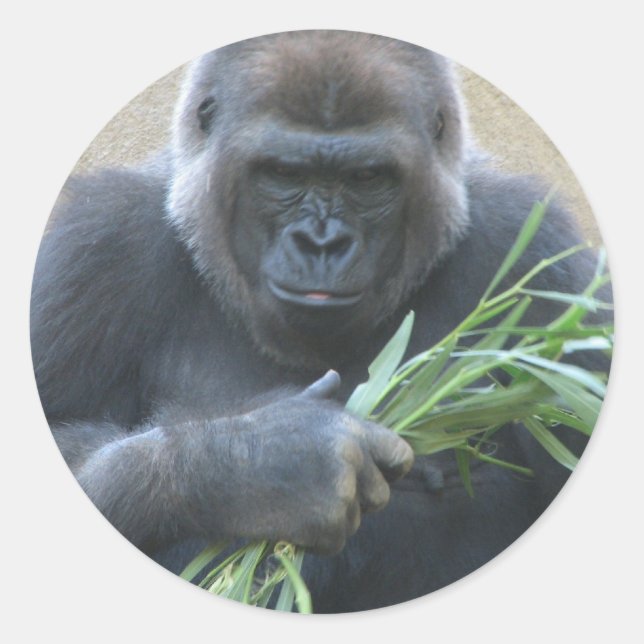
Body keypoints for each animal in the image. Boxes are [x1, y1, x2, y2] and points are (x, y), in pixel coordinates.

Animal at [30, 31, 610, 612]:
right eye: (285, 173)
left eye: (367, 177)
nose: (322, 243)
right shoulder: (97, 246)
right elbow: (63, 436)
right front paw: (264, 467)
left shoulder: (539, 255)